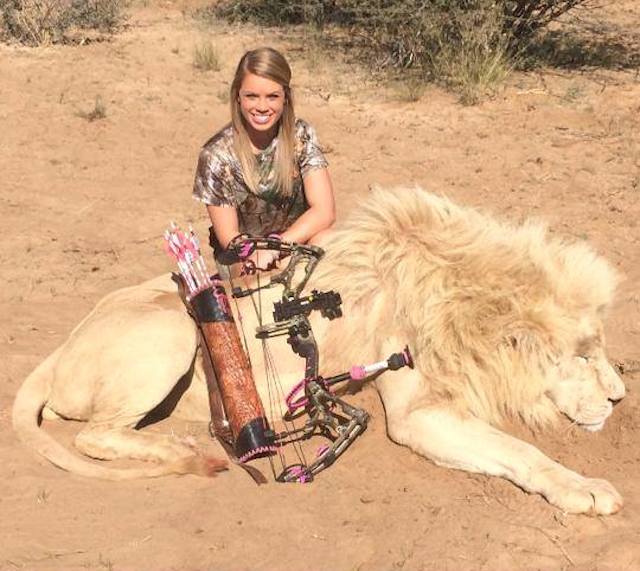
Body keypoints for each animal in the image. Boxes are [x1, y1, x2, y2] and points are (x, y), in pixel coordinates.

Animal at [13, 186, 626, 515]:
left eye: (599, 348)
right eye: (582, 355)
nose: (620, 399)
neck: (460, 292)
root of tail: (62, 347)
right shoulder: (417, 413)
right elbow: (523, 452)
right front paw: (588, 490)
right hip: (171, 332)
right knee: (93, 435)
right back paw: (186, 447)